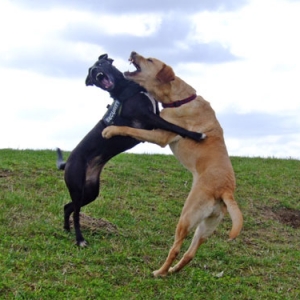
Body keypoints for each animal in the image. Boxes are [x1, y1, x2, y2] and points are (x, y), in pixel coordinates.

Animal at [57, 54, 205, 246]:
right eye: (91, 73)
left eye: (99, 64)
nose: (96, 73)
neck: (124, 88)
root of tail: (67, 162)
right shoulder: (148, 118)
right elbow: (174, 126)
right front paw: (196, 135)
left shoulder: (154, 115)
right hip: (77, 187)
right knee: (75, 212)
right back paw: (80, 239)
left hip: (90, 191)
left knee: (68, 207)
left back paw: (66, 228)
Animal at [102, 51, 243, 276]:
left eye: (150, 60)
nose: (132, 52)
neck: (179, 99)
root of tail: (226, 190)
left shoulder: (160, 134)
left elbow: (131, 129)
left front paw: (110, 130)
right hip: (205, 227)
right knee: (190, 254)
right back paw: (173, 270)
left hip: (186, 216)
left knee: (176, 248)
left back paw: (159, 272)